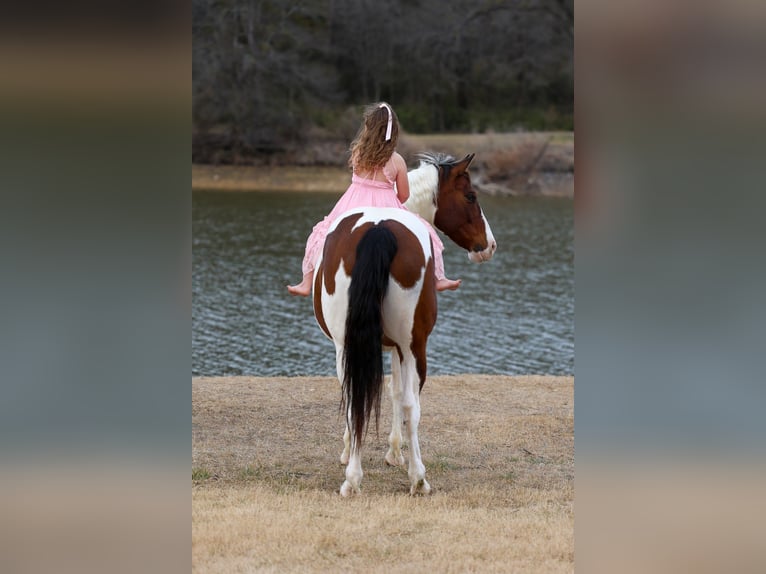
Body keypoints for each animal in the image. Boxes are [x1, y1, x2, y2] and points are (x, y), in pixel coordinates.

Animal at [311, 152, 497, 496]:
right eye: (471, 196)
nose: (489, 245)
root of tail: (378, 229)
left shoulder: (368, 346)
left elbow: (379, 392)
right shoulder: (401, 347)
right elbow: (399, 394)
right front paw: (395, 452)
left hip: (348, 344)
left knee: (353, 398)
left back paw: (352, 479)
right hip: (415, 348)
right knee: (412, 405)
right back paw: (418, 477)